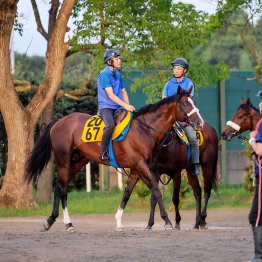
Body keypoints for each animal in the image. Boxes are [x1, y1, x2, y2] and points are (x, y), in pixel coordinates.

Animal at [25, 86, 204, 231]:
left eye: (194, 102)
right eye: (185, 104)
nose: (199, 122)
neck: (144, 129)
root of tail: (59, 122)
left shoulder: (137, 169)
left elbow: (127, 193)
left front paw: (118, 221)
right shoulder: (141, 166)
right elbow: (156, 190)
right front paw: (166, 221)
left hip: (77, 162)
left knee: (58, 187)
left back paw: (50, 220)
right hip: (63, 161)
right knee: (63, 190)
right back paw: (68, 224)